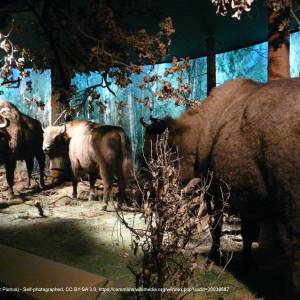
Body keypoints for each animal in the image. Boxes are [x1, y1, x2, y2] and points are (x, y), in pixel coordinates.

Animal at [142, 78, 300, 298]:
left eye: (156, 153)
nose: (147, 185)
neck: (202, 130)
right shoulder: (246, 194)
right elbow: (247, 232)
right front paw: (248, 263)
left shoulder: (215, 191)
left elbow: (216, 225)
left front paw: (212, 258)